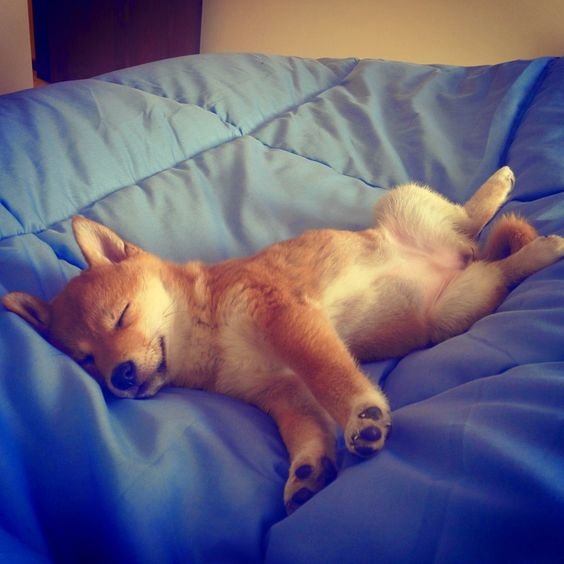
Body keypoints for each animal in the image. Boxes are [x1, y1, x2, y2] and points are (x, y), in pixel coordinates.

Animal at [4, 166, 564, 512]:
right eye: (87, 360)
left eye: (120, 318)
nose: (119, 376)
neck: (208, 332)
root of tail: (455, 257)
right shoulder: (280, 390)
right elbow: (305, 429)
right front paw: (309, 468)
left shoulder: (283, 316)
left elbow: (331, 375)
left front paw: (361, 414)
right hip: (454, 309)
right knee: (498, 265)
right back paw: (531, 251)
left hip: (404, 205)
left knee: (470, 220)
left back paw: (508, 201)